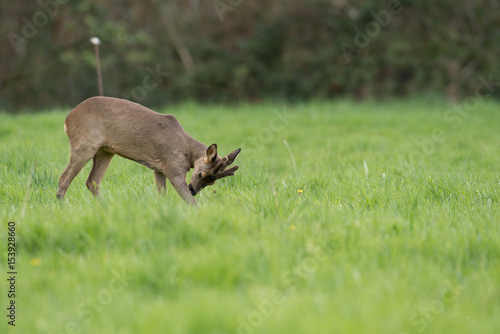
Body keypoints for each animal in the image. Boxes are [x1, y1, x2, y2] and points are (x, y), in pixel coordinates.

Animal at [56, 96, 240, 204]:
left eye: (212, 182)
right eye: (201, 174)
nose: (193, 190)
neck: (187, 151)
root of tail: (66, 119)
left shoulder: (159, 169)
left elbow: (162, 195)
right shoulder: (172, 167)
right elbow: (189, 201)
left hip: (105, 151)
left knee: (92, 181)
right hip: (85, 144)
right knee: (64, 177)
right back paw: (61, 204)